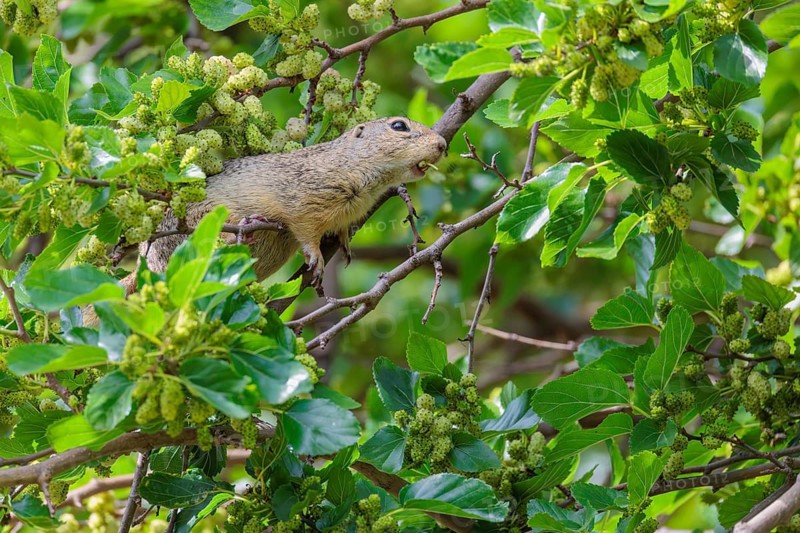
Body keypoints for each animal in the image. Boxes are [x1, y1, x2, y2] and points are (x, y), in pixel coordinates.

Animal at [143, 117, 447, 288]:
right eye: (399, 126)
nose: (443, 144)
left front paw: (344, 241)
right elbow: (304, 230)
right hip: (200, 220)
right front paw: (316, 258)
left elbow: (339, 228)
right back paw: (244, 229)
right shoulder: (303, 202)